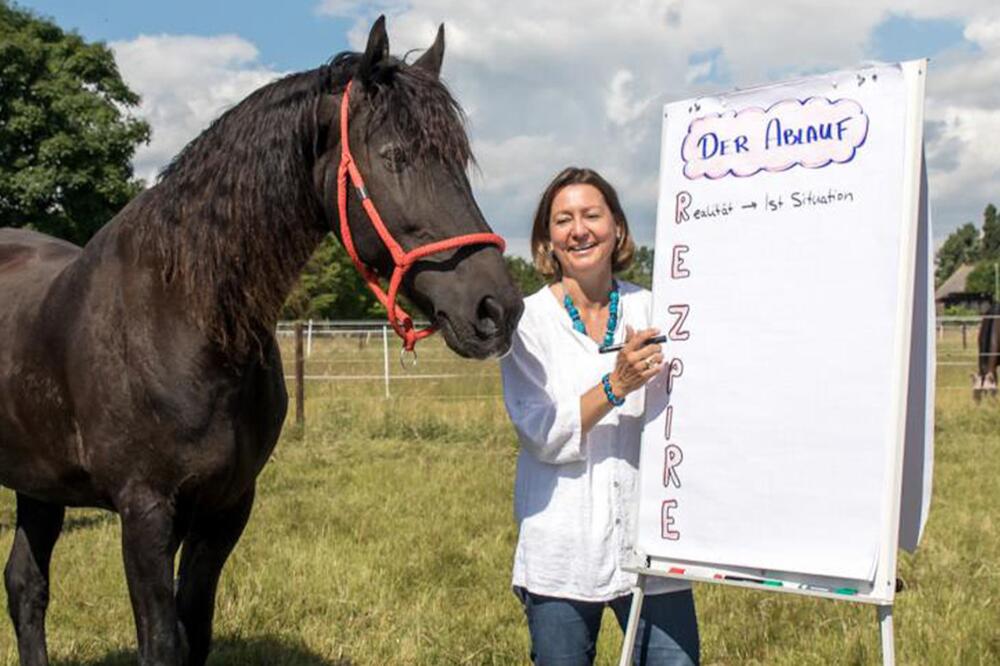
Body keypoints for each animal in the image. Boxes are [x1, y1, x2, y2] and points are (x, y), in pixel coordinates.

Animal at [0, 15, 520, 664]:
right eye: (395, 156)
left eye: (459, 162)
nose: (498, 308)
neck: (181, 321)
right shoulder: (144, 512)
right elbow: (162, 642)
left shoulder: (226, 508)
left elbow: (194, 634)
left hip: (39, 484)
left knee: (25, 586)